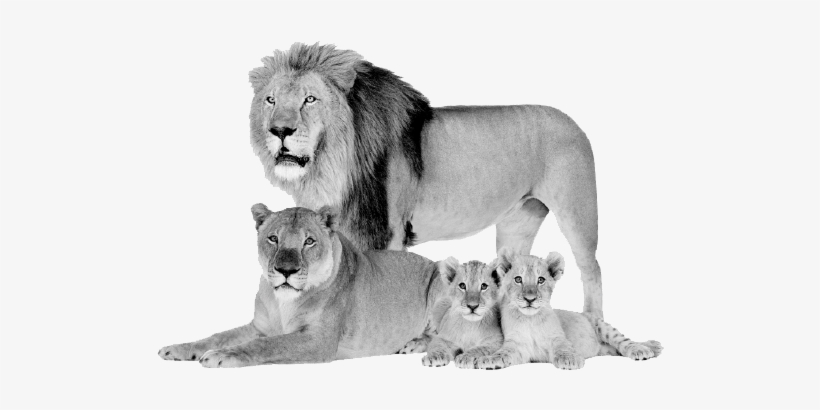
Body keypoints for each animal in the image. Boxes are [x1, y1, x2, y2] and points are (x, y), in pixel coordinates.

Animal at [157, 205, 446, 367]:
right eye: (273, 238)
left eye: (309, 241)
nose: (286, 271)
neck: (282, 302)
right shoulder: (259, 327)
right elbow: (217, 335)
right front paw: (179, 349)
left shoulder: (318, 340)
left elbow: (269, 345)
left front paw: (223, 355)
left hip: (440, 277)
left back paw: (413, 344)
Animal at [248, 43, 605, 319]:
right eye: (271, 100)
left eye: (310, 99)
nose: (279, 131)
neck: (333, 164)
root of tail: (574, 121)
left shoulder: (388, 231)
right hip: (518, 222)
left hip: (577, 213)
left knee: (593, 269)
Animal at [475, 249, 662, 370]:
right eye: (518, 279)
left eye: (540, 280)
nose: (530, 299)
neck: (530, 320)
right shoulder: (517, 346)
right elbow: (503, 353)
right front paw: (489, 360)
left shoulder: (558, 337)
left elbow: (563, 348)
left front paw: (570, 360)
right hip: (606, 349)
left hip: (602, 326)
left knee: (623, 341)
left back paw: (644, 348)